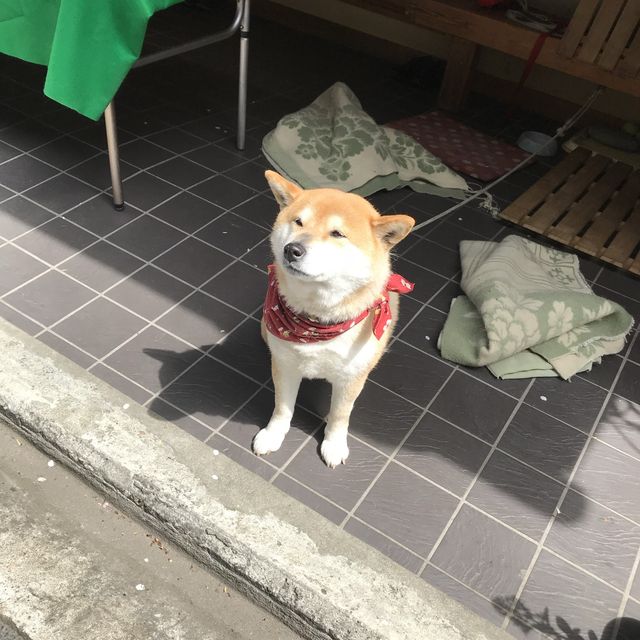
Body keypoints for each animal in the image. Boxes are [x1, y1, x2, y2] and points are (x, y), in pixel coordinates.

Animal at [252, 171, 418, 470]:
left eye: (337, 234)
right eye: (298, 222)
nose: (292, 249)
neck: (317, 320)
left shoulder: (351, 377)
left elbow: (341, 415)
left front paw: (334, 444)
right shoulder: (285, 364)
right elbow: (282, 407)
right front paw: (273, 435)